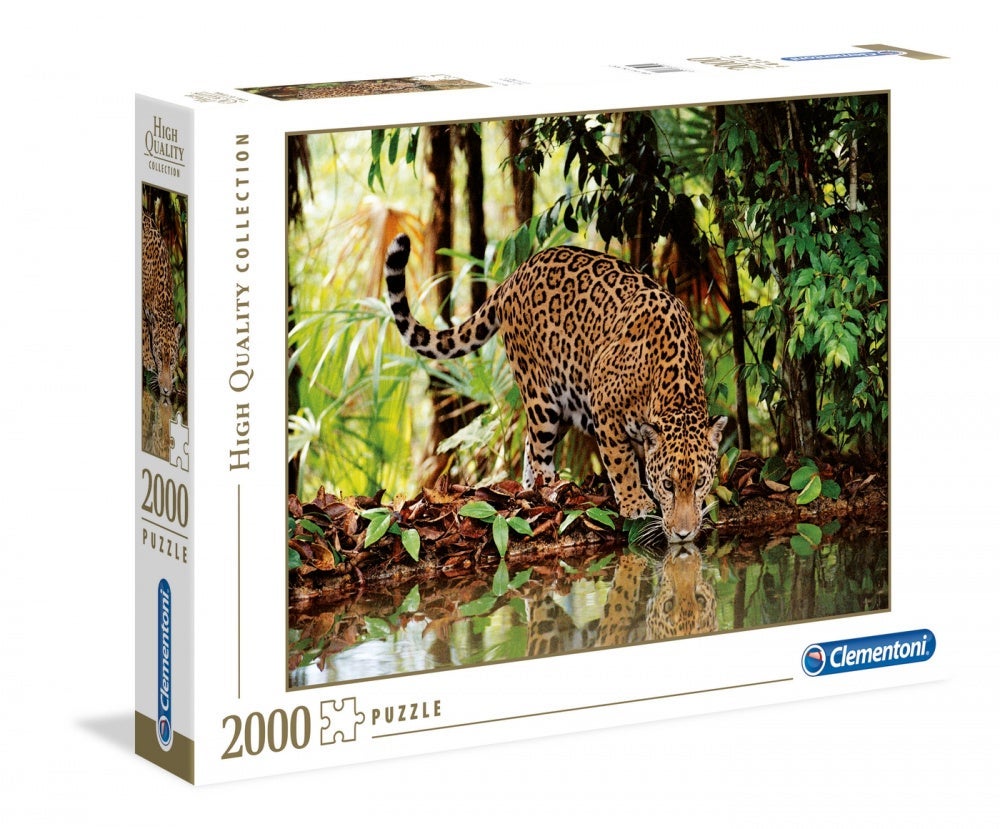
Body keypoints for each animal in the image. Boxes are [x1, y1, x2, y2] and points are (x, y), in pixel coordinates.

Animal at [384, 234, 727, 542]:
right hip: (541, 394)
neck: (672, 389)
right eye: (669, 485)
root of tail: (514, 276)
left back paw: (529, 490)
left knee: (528, 445)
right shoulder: (604, 408)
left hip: (563, 406)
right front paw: (636, 503)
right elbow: (621, 462)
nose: (683, 534)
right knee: (538, 450)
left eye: (700, 482)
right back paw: (548, 491)